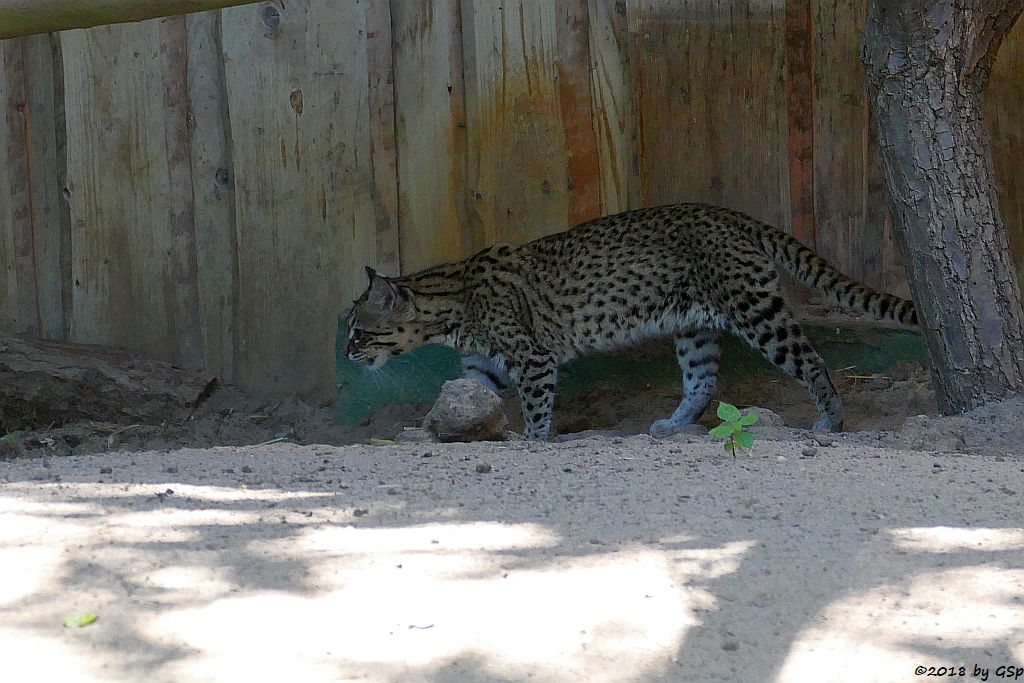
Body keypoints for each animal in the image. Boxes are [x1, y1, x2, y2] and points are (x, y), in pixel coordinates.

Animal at [342, 202, 913, 440]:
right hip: (694, 329)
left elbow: (537, 406)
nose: (346, 354)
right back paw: (676, 425)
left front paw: (533, 438)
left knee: (811, 360)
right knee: (704, 382)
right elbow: (467, 396)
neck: (453, 299)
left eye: (358, 329)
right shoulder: (482, 365)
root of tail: (731, 214)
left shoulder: (533, 358)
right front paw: (441, 427)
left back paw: (832, 421)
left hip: (755, 310)